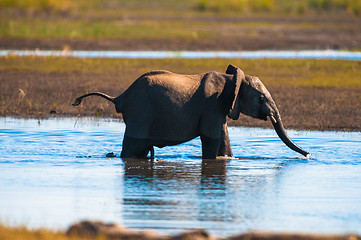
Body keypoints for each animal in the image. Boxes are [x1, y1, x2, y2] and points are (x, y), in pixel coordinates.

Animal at [72, 64, 306, 159]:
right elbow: (211, 139)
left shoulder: (220, 109)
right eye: (261, 98)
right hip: (140, 114)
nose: (308, 155)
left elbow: (224, 139)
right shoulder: (212, 105)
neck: (232, 79)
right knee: (130, 148)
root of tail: (121, 97)